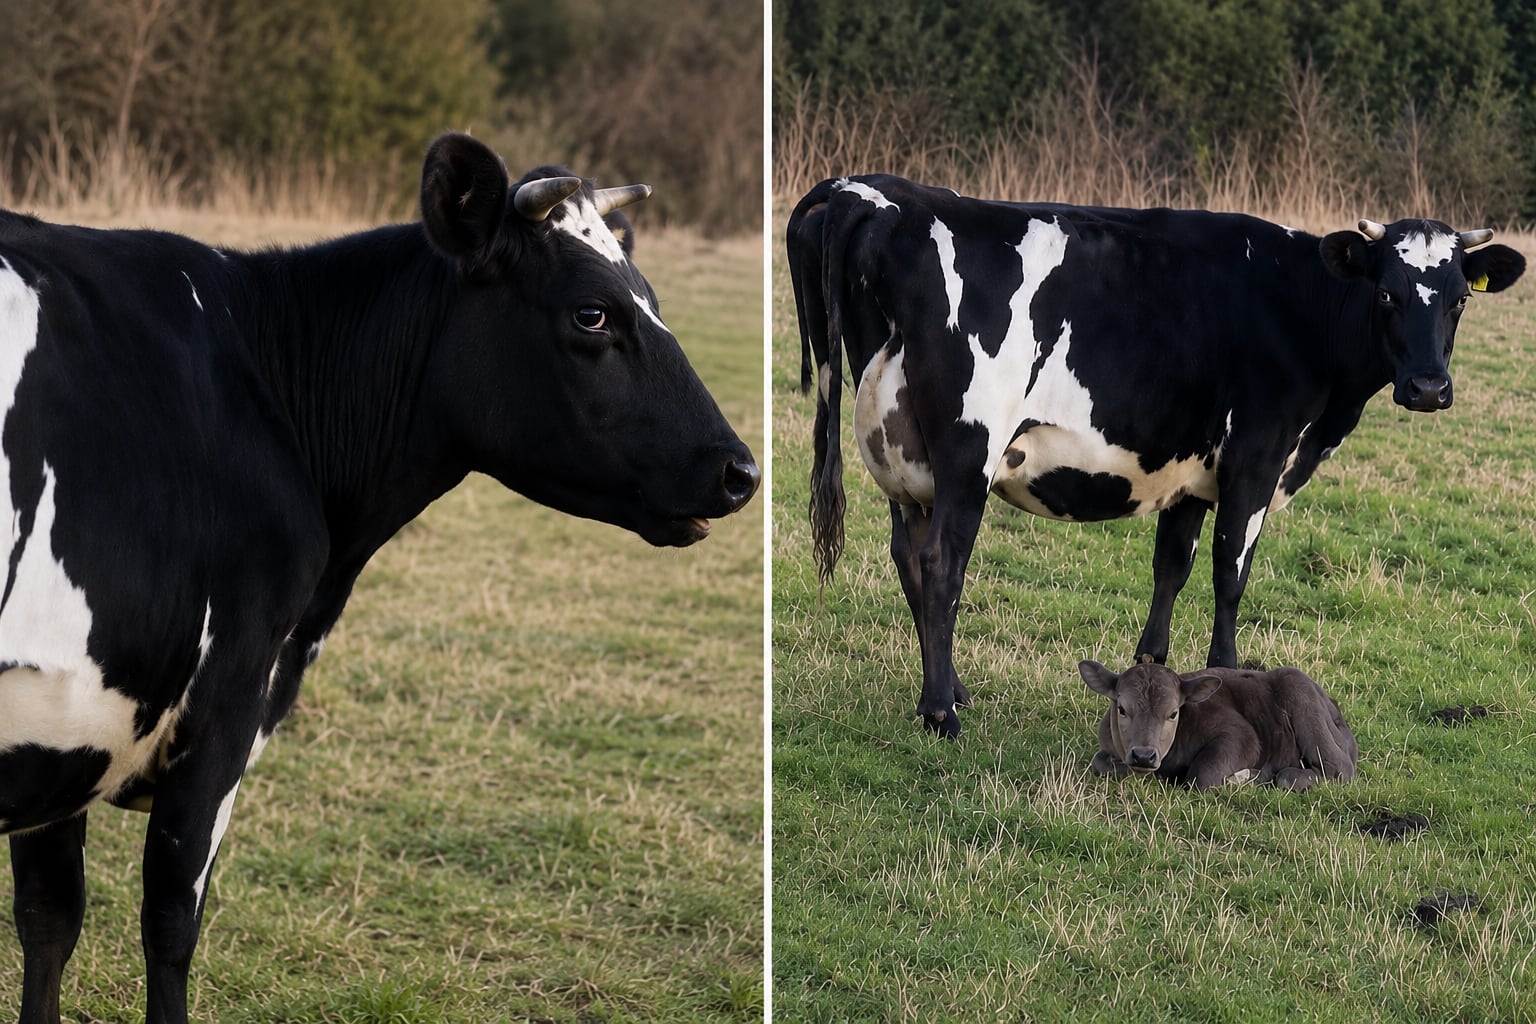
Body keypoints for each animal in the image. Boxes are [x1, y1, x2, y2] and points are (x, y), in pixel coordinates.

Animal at [0, 131, 758, 1024]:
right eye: (592, 313)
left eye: (650, 296)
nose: (741, 471)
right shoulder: (222, 705)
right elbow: (169, 925)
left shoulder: (74, 720)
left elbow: (49, 920)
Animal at [787, 174, 1525, 737]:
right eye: (1388, 293)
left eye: (1460, 299)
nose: (1428, 388)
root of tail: (882, 194)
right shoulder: (1255, 457)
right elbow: (1231, 573)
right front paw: (1231, 674)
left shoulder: (1192, 473)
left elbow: (1172, 567)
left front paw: (1154, 670)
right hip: (968, 449)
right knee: (941, 561)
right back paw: (942, 712)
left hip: (903, 456)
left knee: (909, 555)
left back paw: (949, 690)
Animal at [1078, 658, 1359, 791]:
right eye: (1122, 709)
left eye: (1173, 713)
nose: (1144, 756)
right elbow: (1100, 762)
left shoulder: (1242, 736)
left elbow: (1201, 777)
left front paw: (1244, 777)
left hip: (1301, 696)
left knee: (1335, 770)